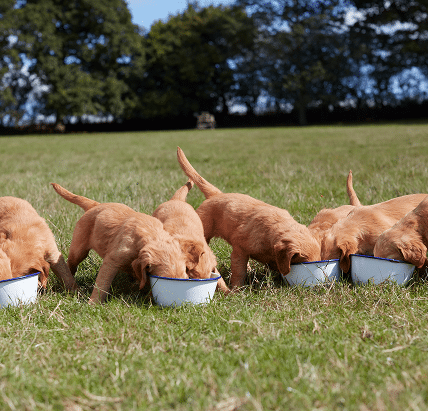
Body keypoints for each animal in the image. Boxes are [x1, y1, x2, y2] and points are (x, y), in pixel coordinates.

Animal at [50, 183, 187, 302]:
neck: (152, 236)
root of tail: (95, 205)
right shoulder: (112, 261)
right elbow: (102, 285)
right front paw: (93, 303)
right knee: (70, 264)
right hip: (78, 249)